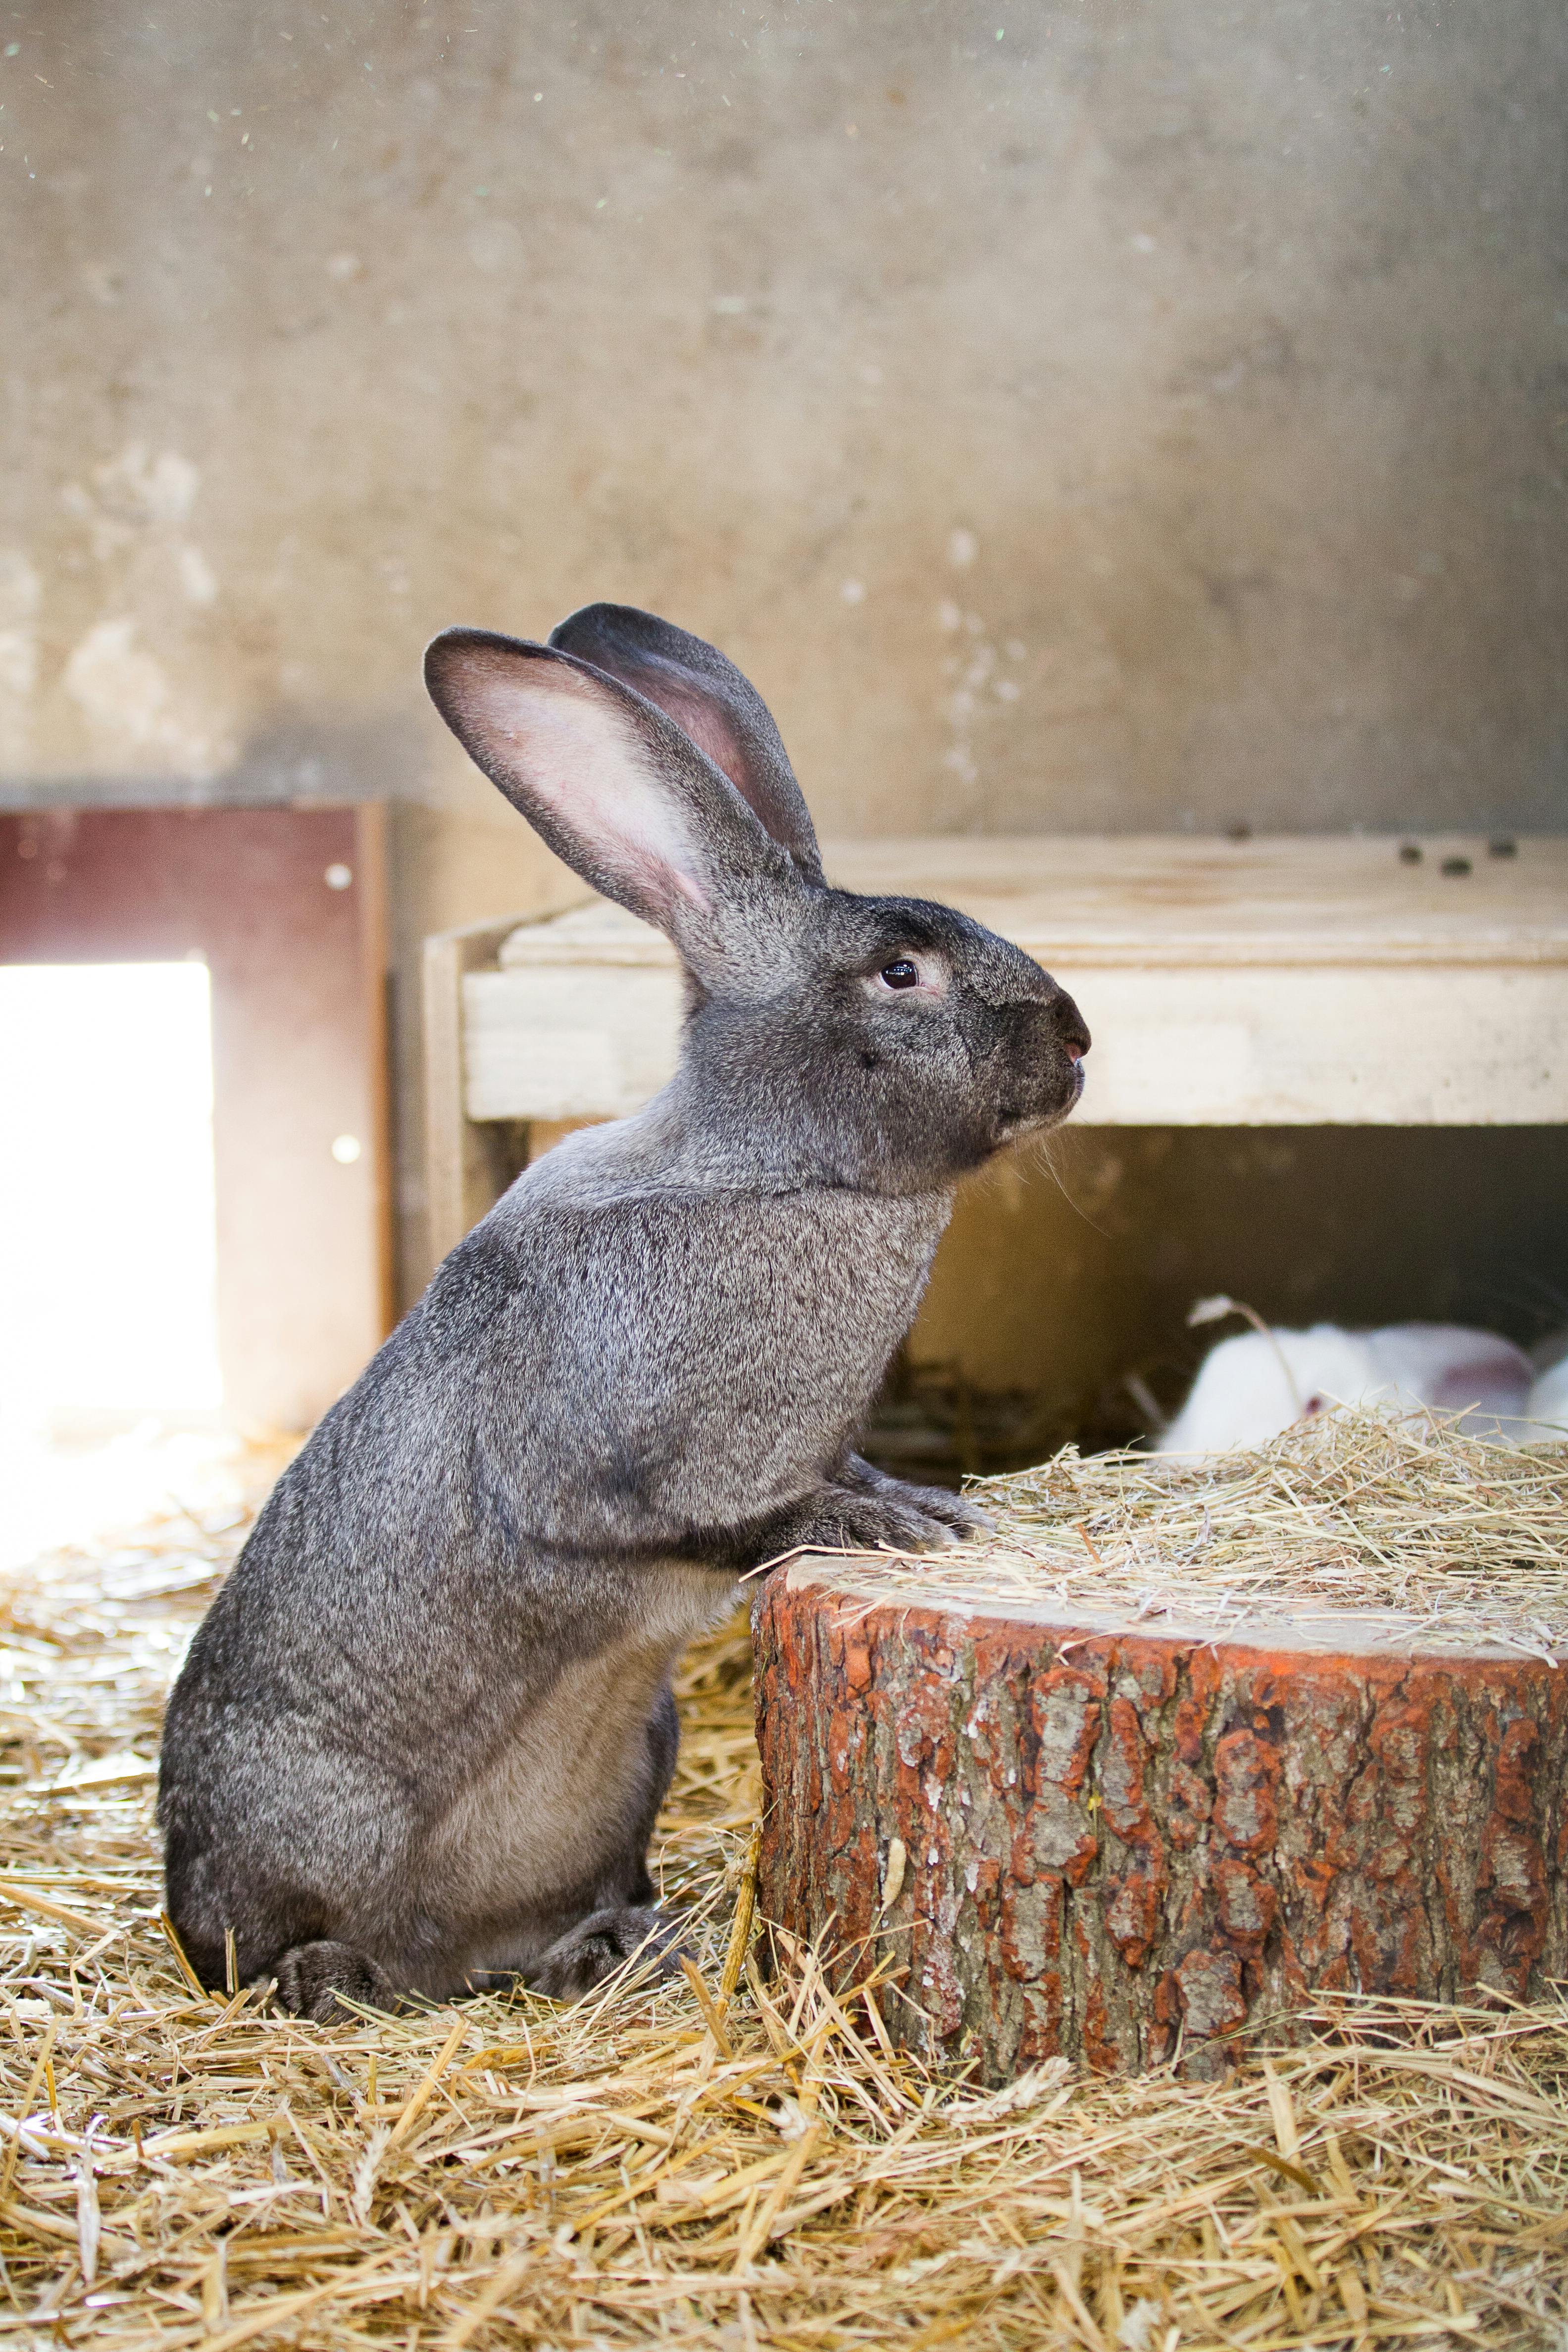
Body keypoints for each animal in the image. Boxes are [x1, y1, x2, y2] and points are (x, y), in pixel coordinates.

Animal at [159, 606, 1091, 2022]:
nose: (1079, 1038)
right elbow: (719, 1517)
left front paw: (926, 1504)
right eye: (900, 970)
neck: (773, 1169)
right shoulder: (600, 1462)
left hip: (627, 1770)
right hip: (306, 1823)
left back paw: (613, 1946)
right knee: (273, 1957)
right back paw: (346, 1971)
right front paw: (885, 1523)